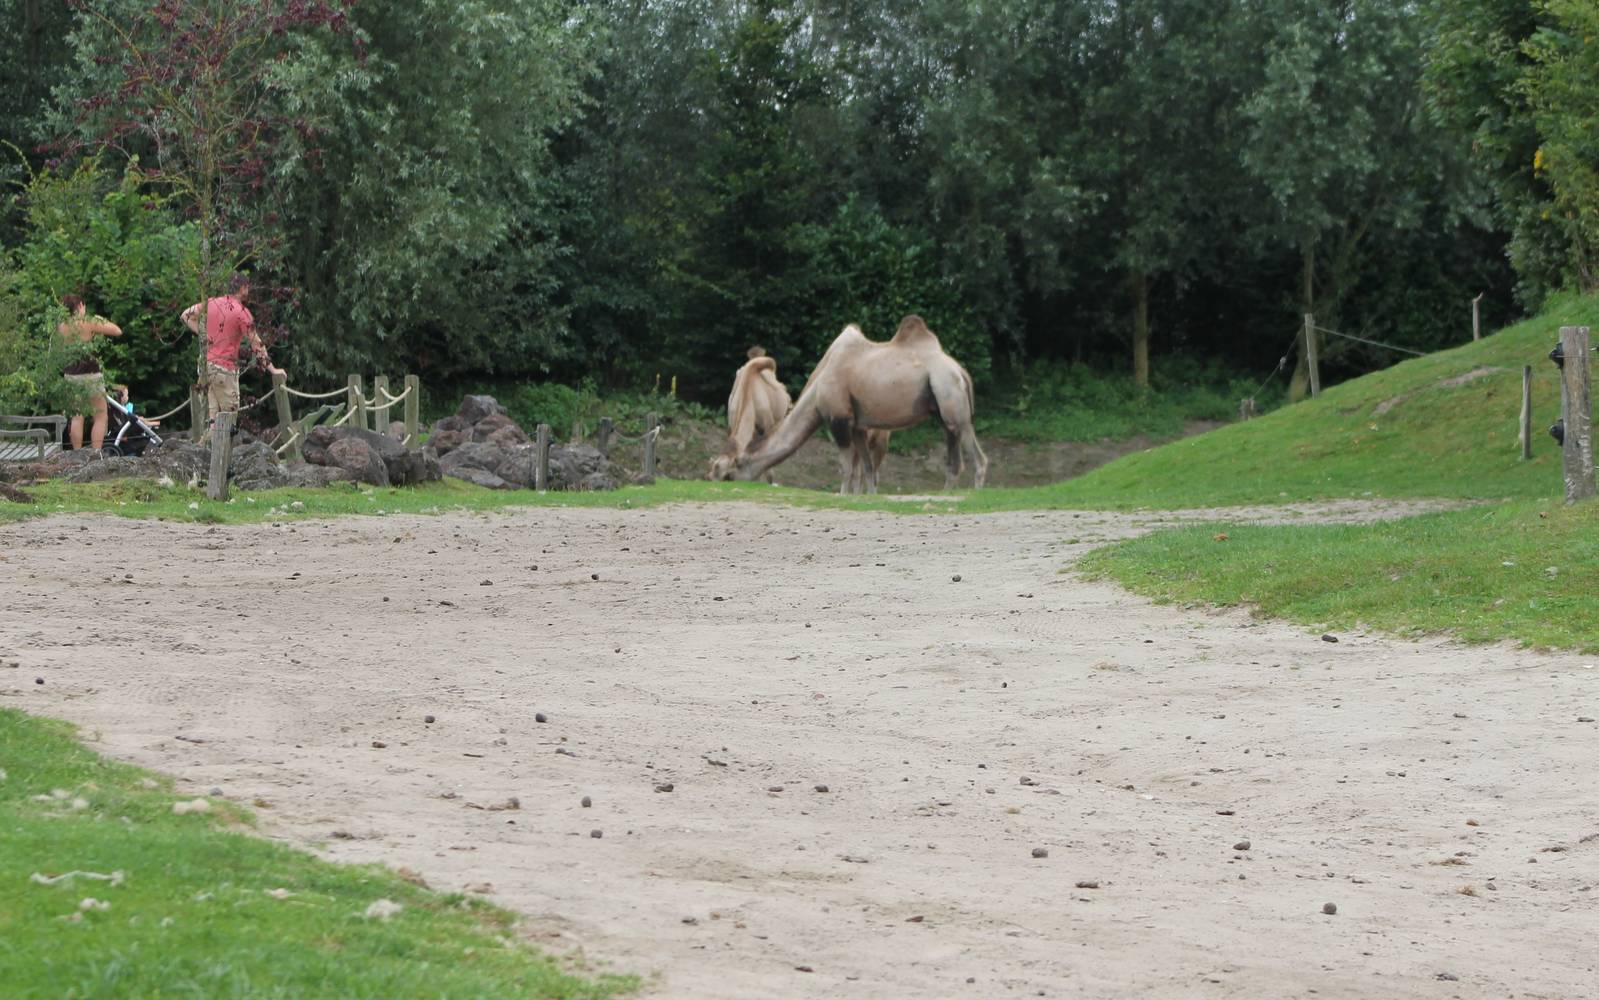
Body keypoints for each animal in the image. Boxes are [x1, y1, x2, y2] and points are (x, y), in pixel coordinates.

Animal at [718, 316, 986, 493]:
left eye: (729, 473)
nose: (717, 480)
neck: (817, 392)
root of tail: (961, 372)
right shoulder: (858, 425)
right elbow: (867, 469)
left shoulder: (839, 419)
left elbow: (846, 468)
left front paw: (843, 496)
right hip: (944, 413)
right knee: (954, 457)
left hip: (950, 396)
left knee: (977, 455)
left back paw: (973, 495)